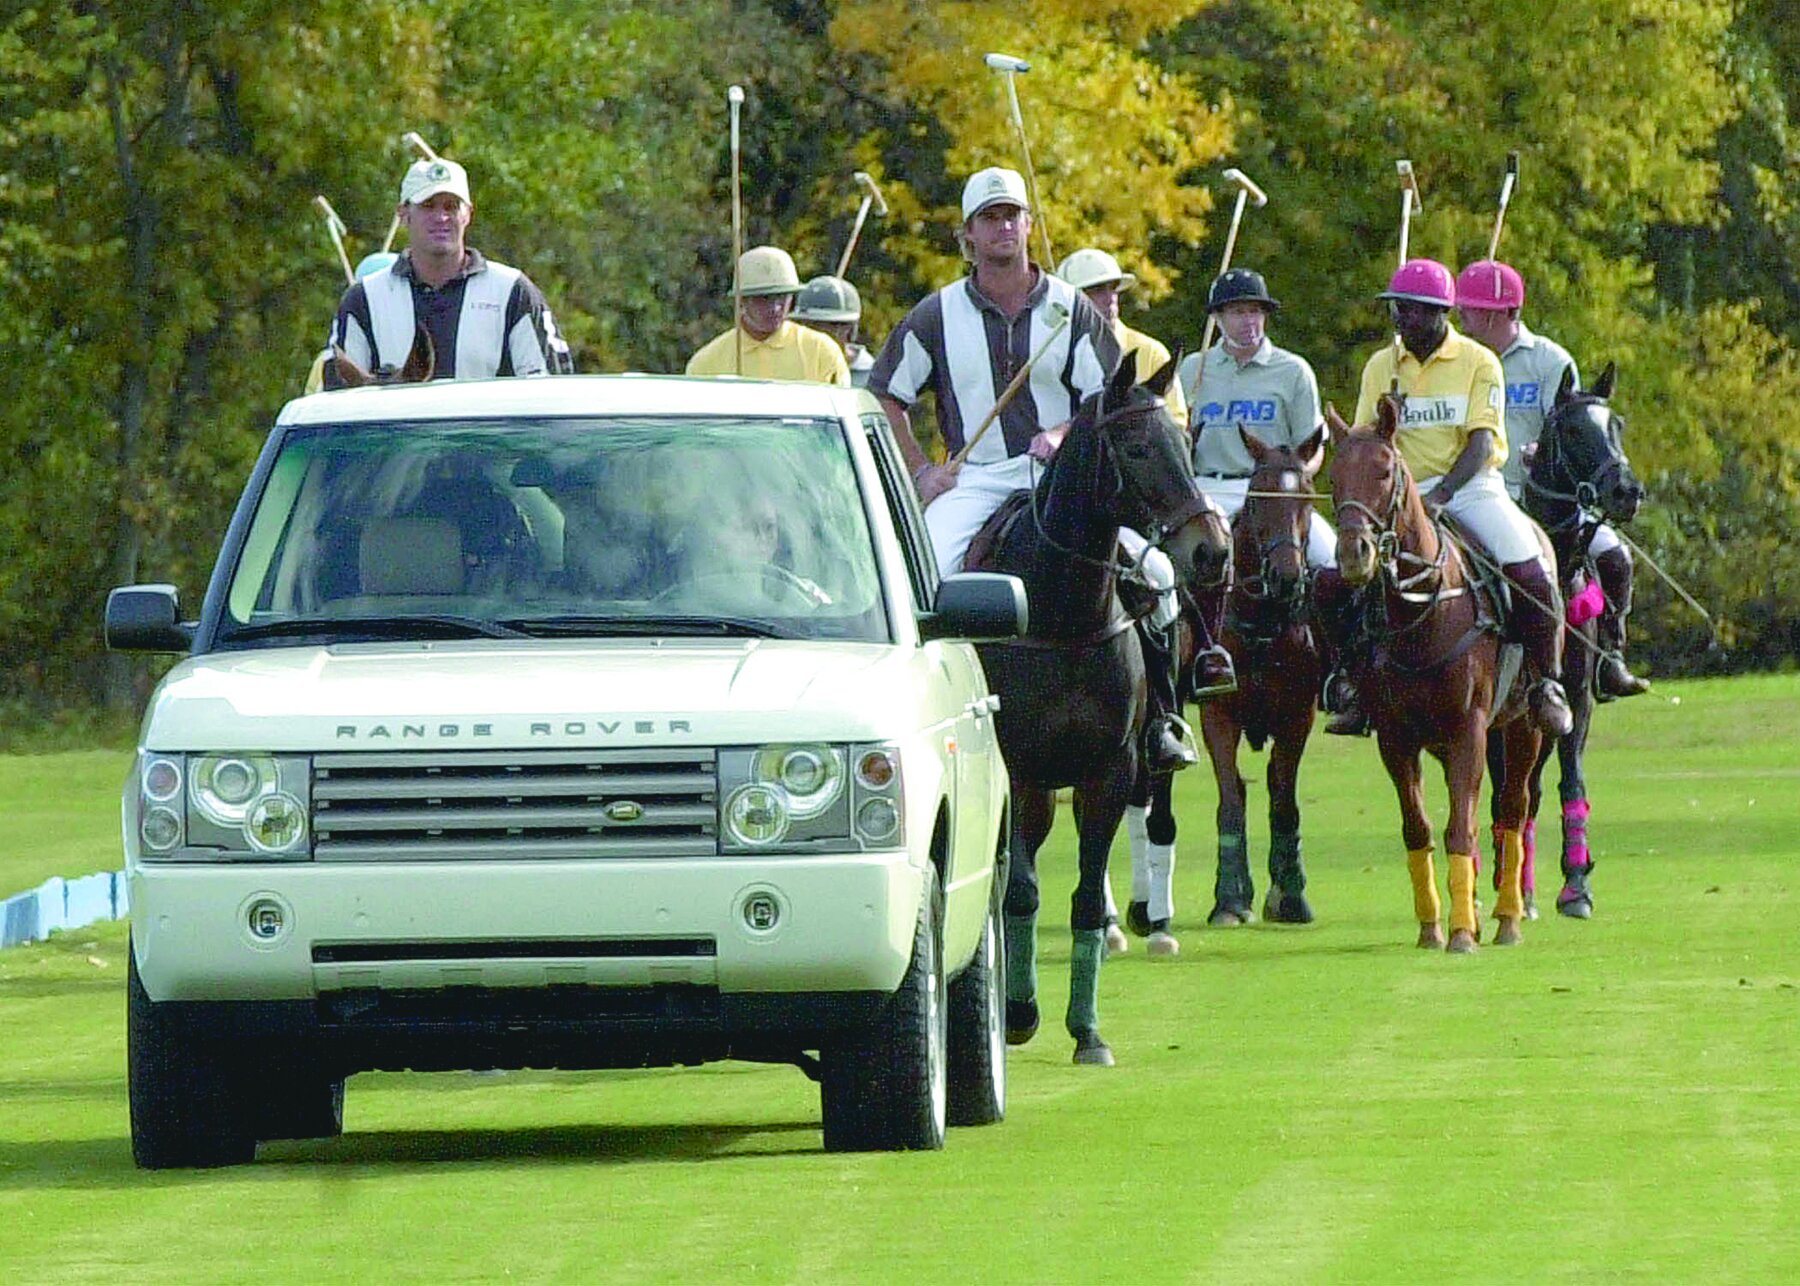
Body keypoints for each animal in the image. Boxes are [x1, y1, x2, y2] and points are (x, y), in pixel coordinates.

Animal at [964, 351, 1231, 1059]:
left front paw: (1086, 1031)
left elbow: (1084, 895)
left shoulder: (1107, 769)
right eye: (1136, 448)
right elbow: (1020, 892)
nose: (1212, 550)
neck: (1062, 615)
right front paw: (1020, 1014)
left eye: (1186, 443)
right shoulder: (1019, 771)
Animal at [1202, 425, 1332, 929]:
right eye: (1257, 499)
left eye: (1307, 500)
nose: (1286, 577)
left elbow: (1283, 798)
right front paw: (1229, 899)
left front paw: (1290, 894)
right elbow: (1230, 800)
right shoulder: (1217, 713)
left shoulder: (1299, 715)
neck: (1261, 619)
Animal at [1324, 398, 1548, 950]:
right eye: (1334, 476)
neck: (1421, 610)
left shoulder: (1469, 726)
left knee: (1512, 810)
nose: (1353, 554)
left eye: (1386, 472)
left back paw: (1508, 918)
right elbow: (1420, 828)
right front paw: (1432, 927)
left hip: (1522, 725)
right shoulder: (1396, 736)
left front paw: (1463, 934)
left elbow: (1461, 828)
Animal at [1490, 365, 1648, 914]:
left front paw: (1576, 883)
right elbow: (1510, 790)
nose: (1627, 490)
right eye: (1574, 431)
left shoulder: (1575, 697)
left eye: (1617, 424)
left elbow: (1568, 779)